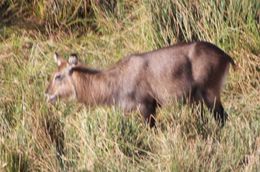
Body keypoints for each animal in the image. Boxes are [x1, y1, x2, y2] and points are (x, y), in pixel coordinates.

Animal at [45, 41, 236, 127]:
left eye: (58, 76)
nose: (47, 93)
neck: (115, 80)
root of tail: (225, 55)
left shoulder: (147, 107)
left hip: (210, 95)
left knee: (222, 117)